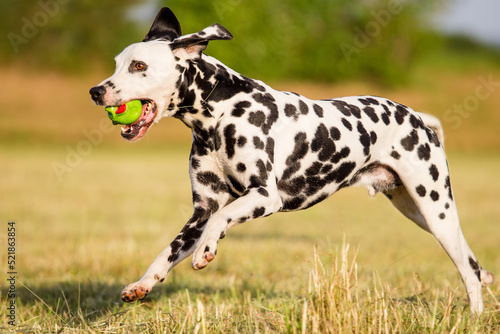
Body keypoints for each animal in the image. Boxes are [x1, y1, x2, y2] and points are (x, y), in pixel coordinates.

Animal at [89, 7, 492, 314]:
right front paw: (143, 283)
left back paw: (474, 314)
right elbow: (167, 251)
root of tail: (419, 119)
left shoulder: (263, 198)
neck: (219, 114)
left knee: (466, 269)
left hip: (436, 208)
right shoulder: (201, 209)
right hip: (419, 212)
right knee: (470, 258)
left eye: (139, 66)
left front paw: (205, 250)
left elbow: (219, 222)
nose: (96, 91)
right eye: (118, 64)